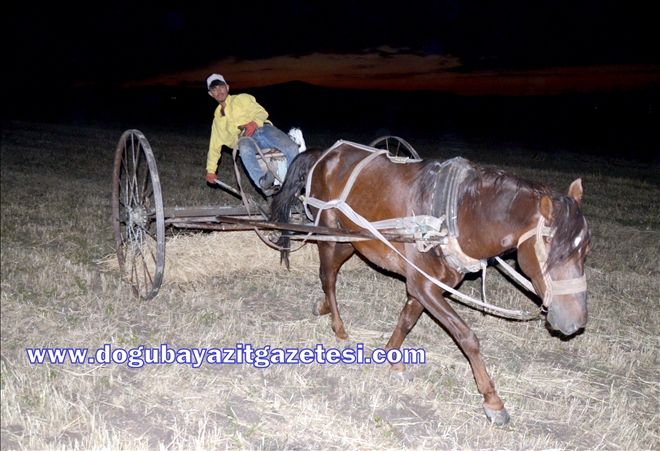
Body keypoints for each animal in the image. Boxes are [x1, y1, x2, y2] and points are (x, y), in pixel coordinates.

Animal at [270, 142, 592, 428]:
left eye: (586, 249)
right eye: (552, 251)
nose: (575, 322)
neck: (458, 212)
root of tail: (324, 154)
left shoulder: (424, 285)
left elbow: (407, 320)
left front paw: (392, 357)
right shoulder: (425, 286)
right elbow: (467, 337)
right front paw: (492, 401)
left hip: (353, 239)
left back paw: (323, 306)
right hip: (330, 234)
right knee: (328, 276)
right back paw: (338, 326)